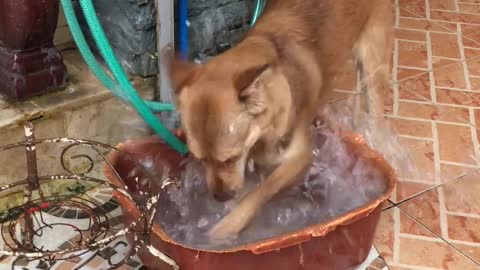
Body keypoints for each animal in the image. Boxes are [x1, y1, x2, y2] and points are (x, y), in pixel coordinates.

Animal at [167, 0, 392, 240]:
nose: (219, 197)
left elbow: (262, 191)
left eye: (229, 159)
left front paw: (229, 225)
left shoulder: (299, 157)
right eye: (199, 159)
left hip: (373, 64)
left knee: (375, 112)